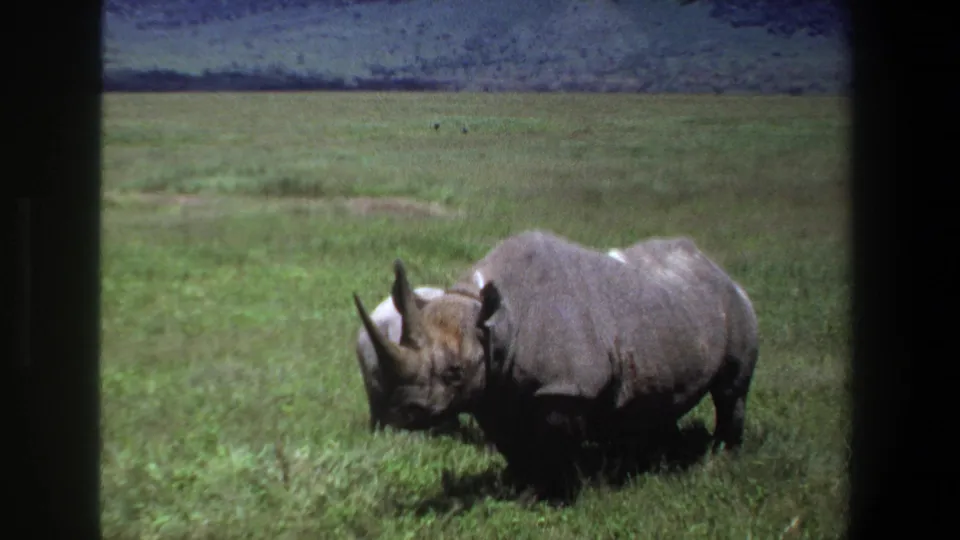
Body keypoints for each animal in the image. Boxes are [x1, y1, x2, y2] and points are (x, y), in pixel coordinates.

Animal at [352, 230, 758, 499]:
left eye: (454, 372)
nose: (401, 412)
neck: (493, 324)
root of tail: (717, 268)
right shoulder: (494, 387)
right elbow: (511, 442)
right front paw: (521, 489)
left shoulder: (566, 388)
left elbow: (558, 444)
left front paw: (559, 496)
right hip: (671, 311)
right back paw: (657, 459)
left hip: (735, 304)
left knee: (730, 391)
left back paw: (722, 458)